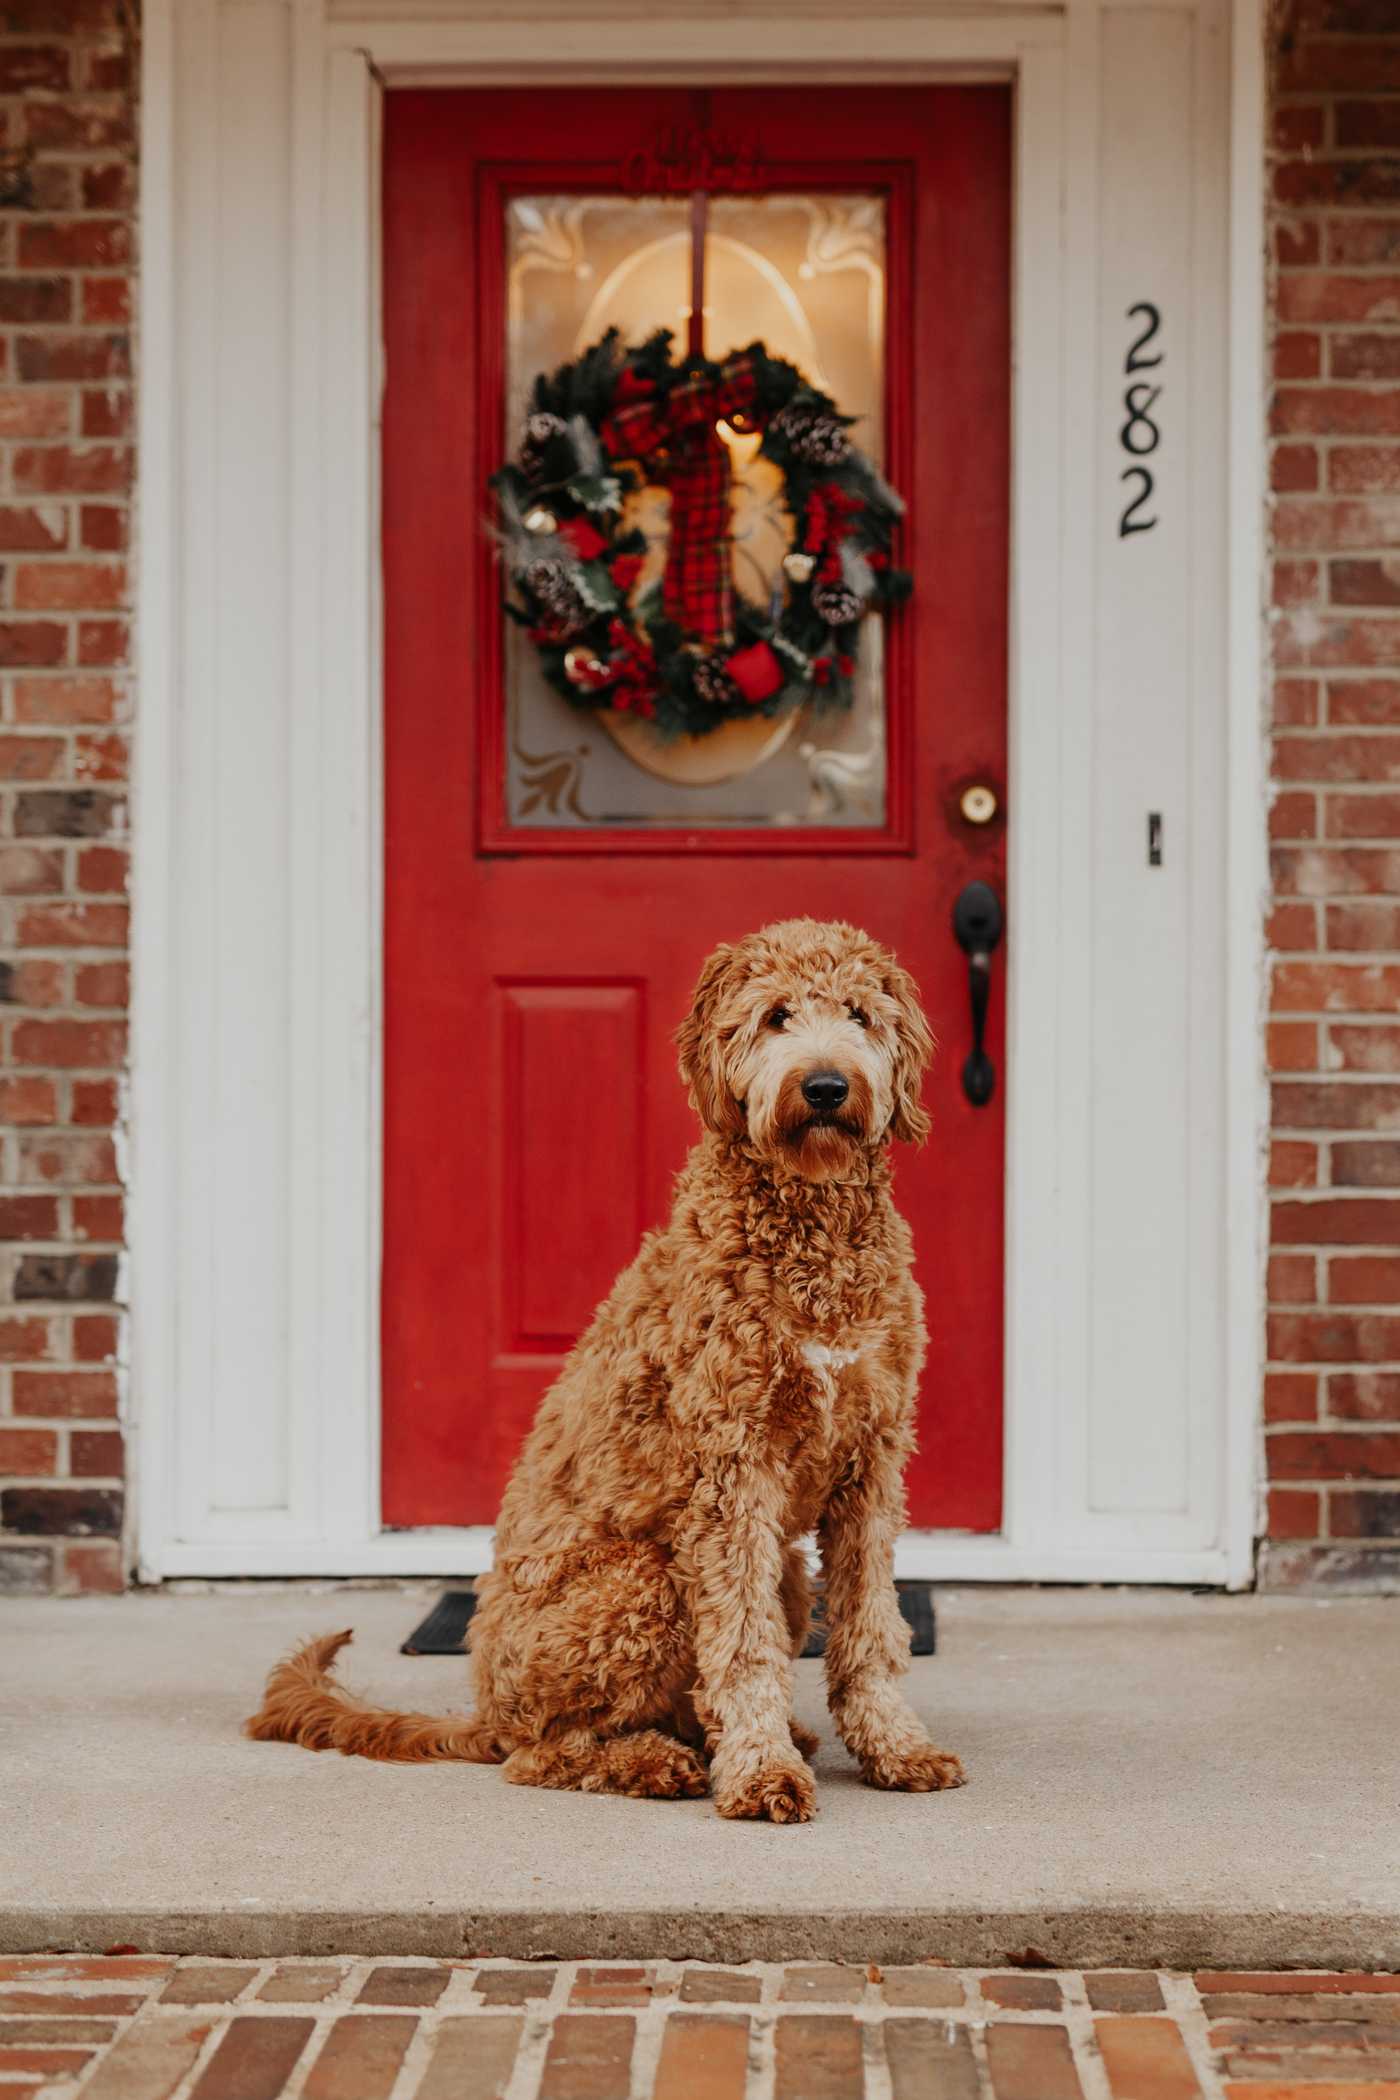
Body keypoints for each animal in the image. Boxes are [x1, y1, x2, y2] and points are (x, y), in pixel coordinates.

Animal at [248, 919, 965, 1822]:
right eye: (775, 1016)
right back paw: (656, 1762)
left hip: (787, 1575)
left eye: (860, 1015)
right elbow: (741, 1647)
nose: (828, 1086)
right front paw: (760, 1773)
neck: (812, 1230)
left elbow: (872, 1628)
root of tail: (485, 1710)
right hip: (643, 1580)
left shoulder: (871, 1461)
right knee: (548, 1751)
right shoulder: (730, 1473)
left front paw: (895, 1749)